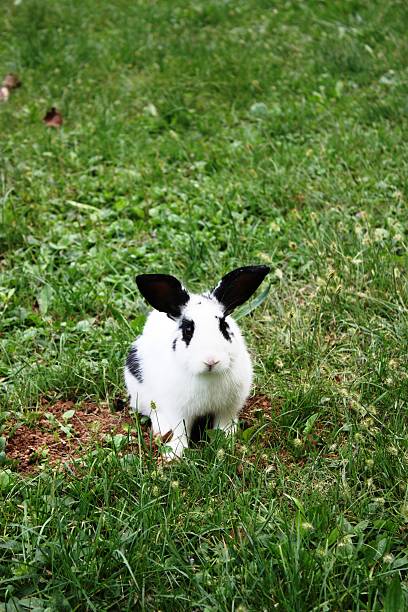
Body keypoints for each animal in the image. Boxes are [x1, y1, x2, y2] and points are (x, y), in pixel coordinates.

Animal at [124, 264, 270, 460]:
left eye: (223, 326)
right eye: (188, 330)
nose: (211, 360)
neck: (208, 376)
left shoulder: (228, 408)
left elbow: (223, 425)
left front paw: (226, 443)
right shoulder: (177, 411)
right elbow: (180, 430)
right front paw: (175, 455)